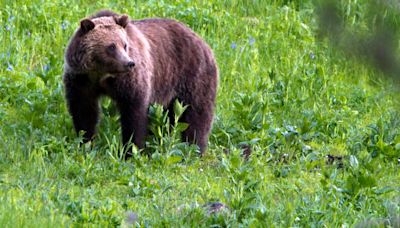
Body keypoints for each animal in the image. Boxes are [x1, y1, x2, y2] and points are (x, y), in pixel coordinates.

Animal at [63, 10, 219, 157]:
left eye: (125, 45)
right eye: (111, 47)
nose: (129, 63)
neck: (102, 75)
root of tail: (201, 40)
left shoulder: (130, 82)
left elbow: (134, 114)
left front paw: (131, 151)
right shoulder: (82, 81)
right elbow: (84, 112)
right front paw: (85, 143)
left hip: (192, 75)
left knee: (197, 114)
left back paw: (195, 148)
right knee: (170, 117)